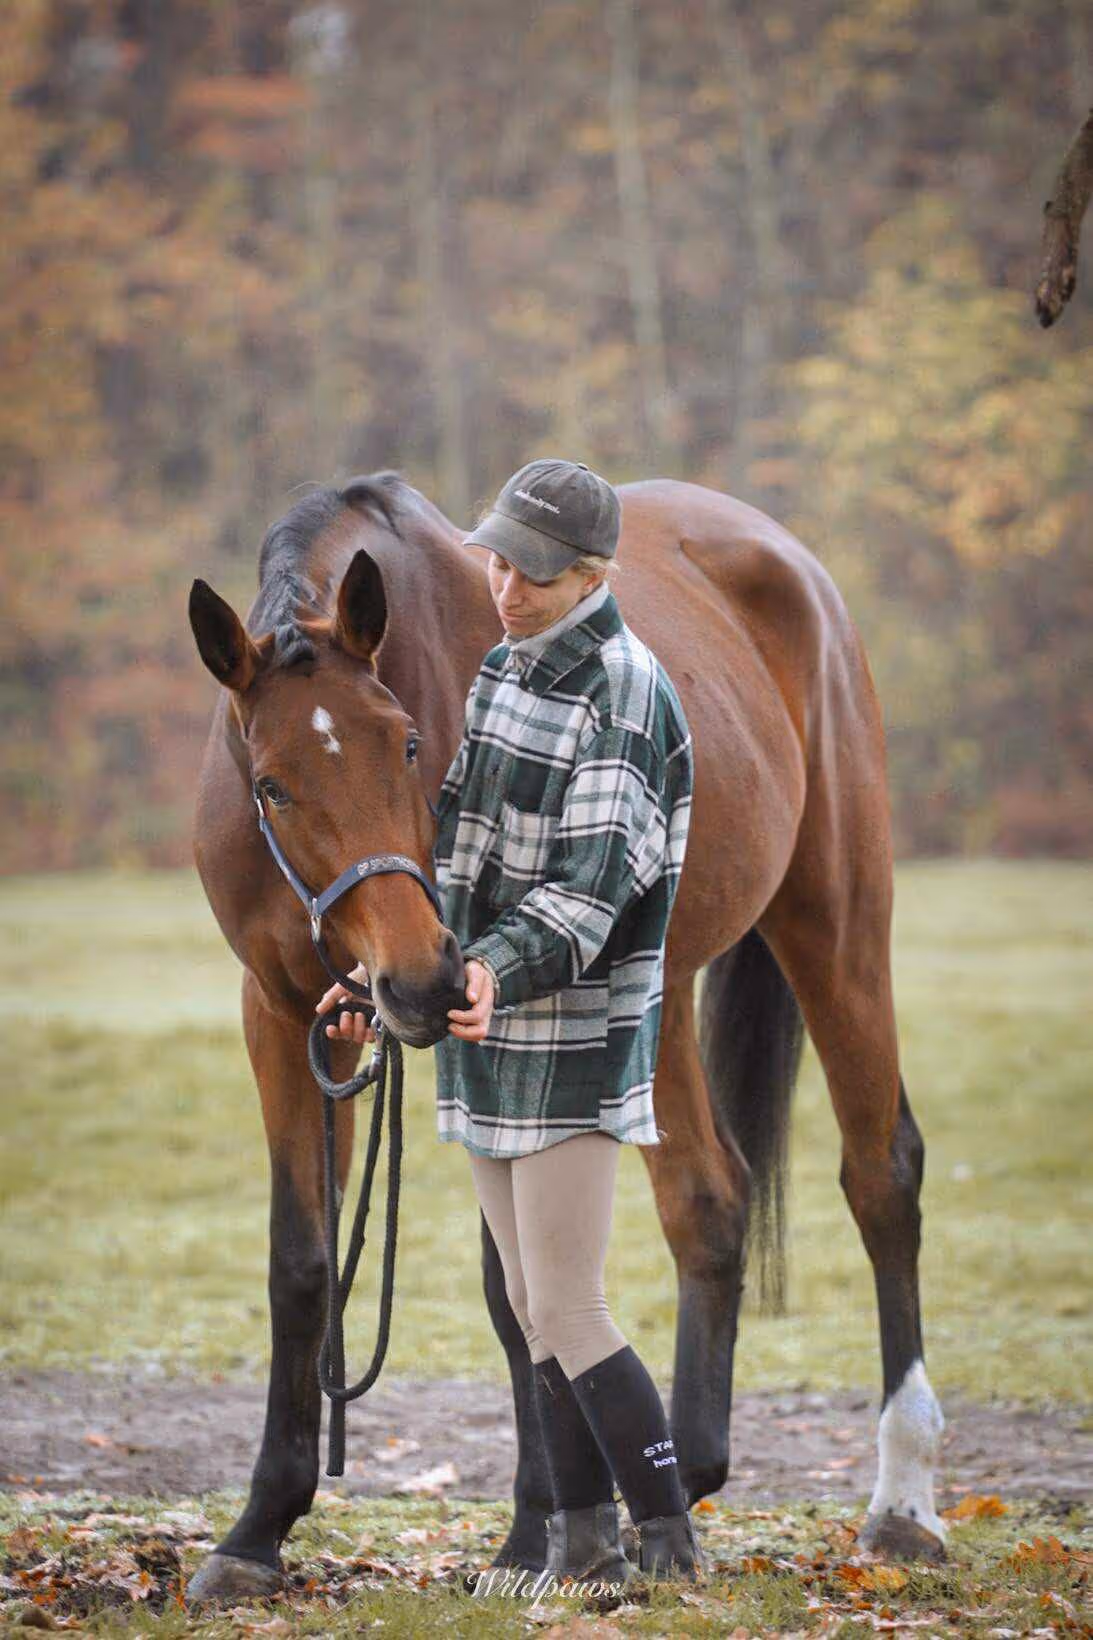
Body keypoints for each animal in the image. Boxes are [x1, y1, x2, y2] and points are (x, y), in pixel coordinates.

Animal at [185, 471, 946, 1602]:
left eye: (406, 745)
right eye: (271, 781)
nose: (420, 977)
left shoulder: (482, 1018)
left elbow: (513, 1293)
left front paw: (528, 1532)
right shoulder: (282, 1013)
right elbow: (302, 1263)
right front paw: (257, 1529)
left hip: (836, 917)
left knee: (880, 1175)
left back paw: (901, 1505)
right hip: (653, 990)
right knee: (708, 1203)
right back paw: (678, 1484)